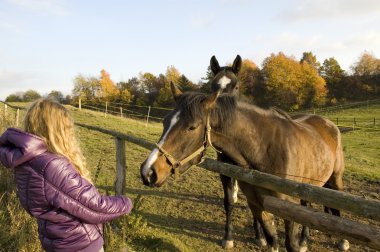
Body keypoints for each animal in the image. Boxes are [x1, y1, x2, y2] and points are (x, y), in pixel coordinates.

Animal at [140, 85, 348, 252]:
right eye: (165, 121)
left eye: (192, 127)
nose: (148, 172)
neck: (265, 150)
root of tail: (328, 124)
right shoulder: (257, 204)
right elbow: (272, 240)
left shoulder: (289, 208)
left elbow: (290, 244)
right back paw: (305, 240)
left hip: (334, 179)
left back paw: (342, 241)